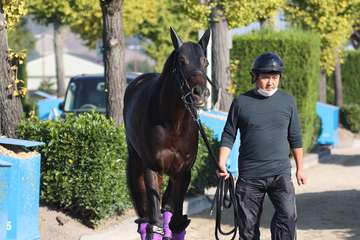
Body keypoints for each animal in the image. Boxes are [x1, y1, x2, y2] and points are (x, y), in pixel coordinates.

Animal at [124, 27, 211, 239]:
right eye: (181, 61)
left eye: (205, 62)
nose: (200, 93)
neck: (174, 125)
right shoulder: (152, 168)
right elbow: (153, 221)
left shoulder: (183, 172)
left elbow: (176, 220)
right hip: (137, 162)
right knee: (146, 216)